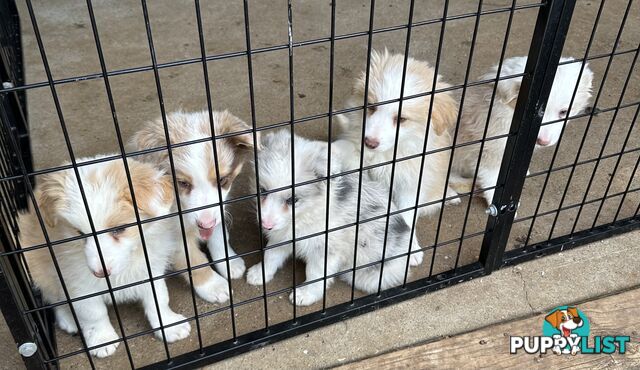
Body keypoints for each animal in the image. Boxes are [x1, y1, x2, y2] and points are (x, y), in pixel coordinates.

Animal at [20, 156, 190, 358]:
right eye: (79, 233)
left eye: (119, 229)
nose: (100, 273)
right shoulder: (79, 284)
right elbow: (93, 313)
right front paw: (102, 339)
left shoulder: (150, 271)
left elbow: (159, 299)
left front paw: (169, 325)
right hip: (40, 270)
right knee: (55, 299)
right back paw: (69, 319)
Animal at [129, 110, 258, 304]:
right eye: (182, 183)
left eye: (222, 180)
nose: (205, 224)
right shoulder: (172, 237)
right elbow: (193, 260)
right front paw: (213, 286)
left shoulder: (217, 209)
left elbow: (218, 235)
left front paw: (229, 261)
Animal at [245, 130, 420, 306]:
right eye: (262, 190)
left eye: (292, 200)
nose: (266, 225)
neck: (306, 214)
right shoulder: (282, 235)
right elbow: (270, 254)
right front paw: (259, 273)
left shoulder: (325, 250)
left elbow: (315, 274)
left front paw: (305, 294)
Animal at [336, 49, 460, 228]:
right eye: (371, 107)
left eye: (401, 119)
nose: (369, 143)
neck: (390, 154)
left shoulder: (411, 186)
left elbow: (406, 216)